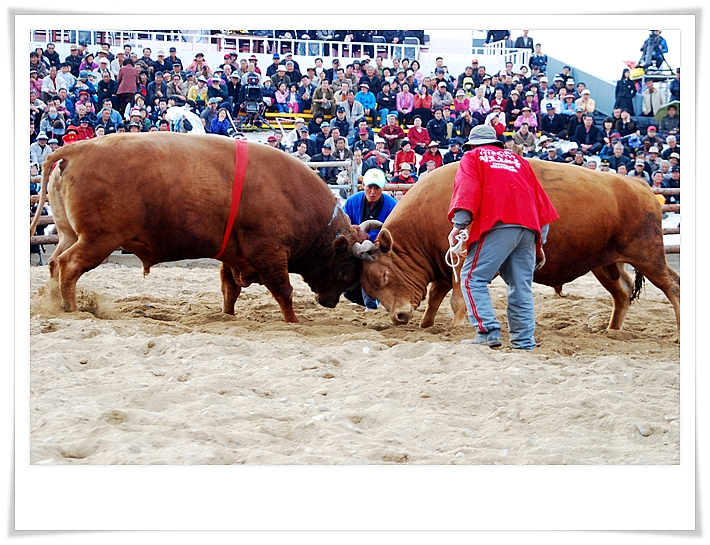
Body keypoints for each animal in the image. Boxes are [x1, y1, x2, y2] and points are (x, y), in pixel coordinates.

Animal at [29, 132, 370, 320]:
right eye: (347, 269)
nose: (332, 301)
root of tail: (76, 149)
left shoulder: (233, 254)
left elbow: (229, 289)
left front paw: (228, 316)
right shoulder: (269, 253)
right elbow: (283, 291)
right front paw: (293, 321)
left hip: (70, 234)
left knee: (55, 263)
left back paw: (57, 304)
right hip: (98, 240)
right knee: (69, 266)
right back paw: (72, 308)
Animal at [364, 159, 680, 332]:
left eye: (384, 276)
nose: (398, 316)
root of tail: (642, 188)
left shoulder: (461, 261)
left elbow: (456, 300)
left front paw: (455, 329)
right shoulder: (444, 265)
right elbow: (434, 299)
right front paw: (426, 326)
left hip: (648, 256)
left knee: (673, 286)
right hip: (604, 264)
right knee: (622, 293)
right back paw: (611, 331)